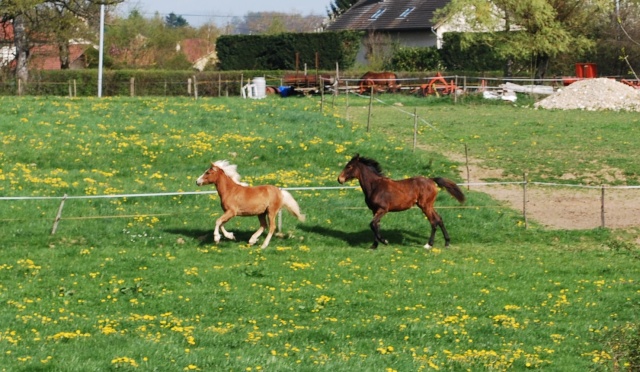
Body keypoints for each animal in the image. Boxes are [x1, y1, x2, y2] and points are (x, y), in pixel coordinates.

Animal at [336, 154, 464, 250]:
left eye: (349, 166)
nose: (339, 179)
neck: (375, 186)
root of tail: (431, 180)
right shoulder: (375, 210)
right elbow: (376, 225)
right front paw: (374, 245)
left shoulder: (383, 209)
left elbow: (372, 224)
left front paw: (385, 241)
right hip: (428, 205)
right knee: (439, 219)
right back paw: (447, 243)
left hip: (425, 206)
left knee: (433, 222)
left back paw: (429, 245)